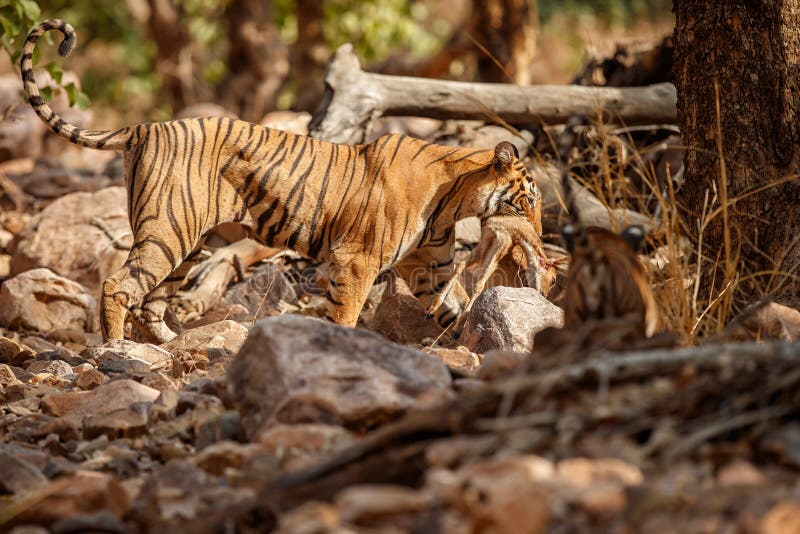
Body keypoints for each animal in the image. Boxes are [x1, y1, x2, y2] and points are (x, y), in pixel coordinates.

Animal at [21, 21, 540, 344]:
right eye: (529, 200)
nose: (537, 232)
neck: (455, 201)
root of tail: (145, 127)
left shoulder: (429, 267)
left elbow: (454, 305)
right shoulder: (356, 261)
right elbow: (347, 312)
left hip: (188, 244)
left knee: (153, 301)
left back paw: (168, 344)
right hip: (167, 233)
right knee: (118, 286)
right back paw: (116, 350)